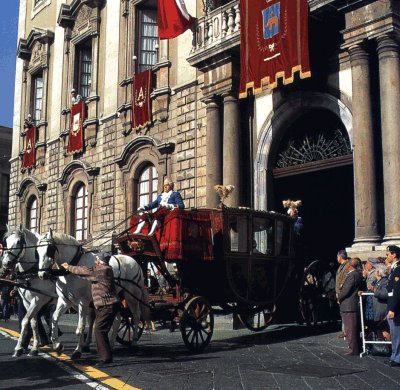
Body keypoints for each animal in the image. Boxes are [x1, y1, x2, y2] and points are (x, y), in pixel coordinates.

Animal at [1, 225, 57, 356]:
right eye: (6, 241)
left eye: (18, 242)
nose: (6, 263)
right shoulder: (28, 302)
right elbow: (33, 323)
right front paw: (34, 347)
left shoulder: (38, 300)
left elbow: (25, 321)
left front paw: (18, 348)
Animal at [37, 229, 148, 360]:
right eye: (37, 251)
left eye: (49, 249)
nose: (42, 275)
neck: (74, 267)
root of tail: (134, 262)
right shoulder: (65, 301)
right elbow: (54, 319)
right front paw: (57, 346)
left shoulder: (82, 302)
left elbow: (80, 327)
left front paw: (77, 351)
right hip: (115, 298)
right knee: (117, 320)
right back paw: (111, 345)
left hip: (132, 297)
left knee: (135, 317)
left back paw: (134, 342)